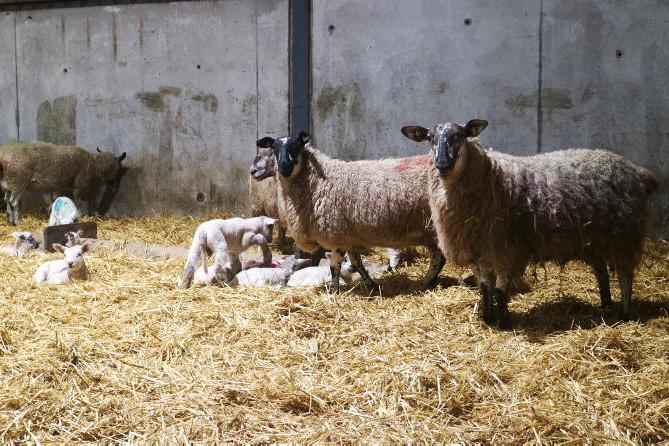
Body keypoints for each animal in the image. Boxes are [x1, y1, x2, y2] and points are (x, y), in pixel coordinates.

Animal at [255, 132, 446, 293]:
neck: (318, 182)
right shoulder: (348, 236)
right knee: (438, 258)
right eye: (274, 148)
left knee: (438, 259)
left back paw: (425, 283)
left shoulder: (336, 234)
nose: (284, 167)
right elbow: (356, 262)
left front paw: (334, 291)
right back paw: (426, 282)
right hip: (429, 232)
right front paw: (370, 284)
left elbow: (334, 267)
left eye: (297, 146)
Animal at [402, 119, 658, 328]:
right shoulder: (478, 250)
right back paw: (605, 305)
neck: (491, 178)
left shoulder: (505, 249)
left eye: (461, 136)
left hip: (624, 235)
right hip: (594, 239)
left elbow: (500, 288)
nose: (442, 164)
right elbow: (485, 287)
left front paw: (504, 322)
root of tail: (635, 170)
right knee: (602, 272)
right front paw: (488, 318)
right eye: (430, 138)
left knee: (625, 276)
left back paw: (624, 313)